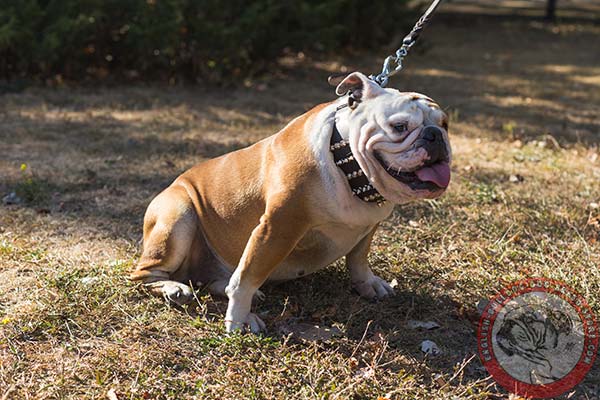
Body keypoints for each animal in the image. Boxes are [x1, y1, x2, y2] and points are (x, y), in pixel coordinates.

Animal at [131, 72, 450, 334]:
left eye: (445, 124)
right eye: (399, 126)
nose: (435, 135)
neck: (346, 162)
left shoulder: (368, 226)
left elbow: (358, 258)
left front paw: (367, 284)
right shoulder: (278, 227)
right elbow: (246, 278)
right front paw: (240, 318)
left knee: (214, 279)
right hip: (178, 216)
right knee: (143, 274)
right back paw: (174, 288)